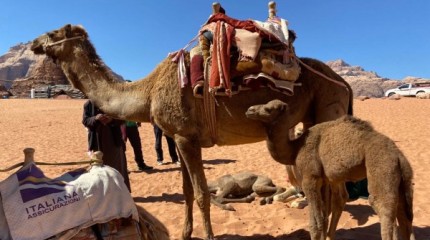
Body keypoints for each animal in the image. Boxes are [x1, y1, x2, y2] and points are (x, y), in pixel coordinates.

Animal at [30, 24, 352, 240]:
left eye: (55, 33)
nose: (33, 42)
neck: (148, 92)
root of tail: (344, 83)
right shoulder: (178, 136)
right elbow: (186, 191)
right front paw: (185, 234)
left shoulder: (187, 139)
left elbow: (200, 194)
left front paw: (208, 235)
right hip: (313, 118)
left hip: (329, 106)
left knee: (336, 192)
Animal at [247, 98, 414, 239]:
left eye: (268, 109)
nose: (249, 110)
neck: (296, 148)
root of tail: (399, 156)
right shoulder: (328, 179)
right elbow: (328, 211)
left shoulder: (310, 178)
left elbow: (316, 223)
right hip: (402, 178)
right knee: (404, 214)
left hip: (382, 169)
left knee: (384, 207)